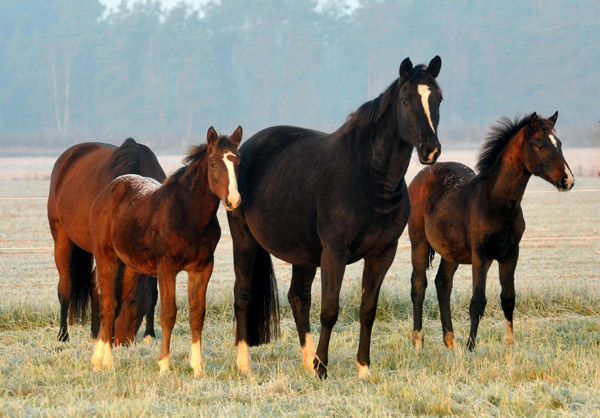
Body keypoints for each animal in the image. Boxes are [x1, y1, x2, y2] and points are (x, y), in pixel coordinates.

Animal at [48, 137, 165, 342]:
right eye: (132, 300)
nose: (123, 341)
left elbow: (153, 292)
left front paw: (149, 333)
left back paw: (96, 332)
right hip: (62, 239)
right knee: (65, 287)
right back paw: (63, 335)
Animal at [89, 125, 241, 374]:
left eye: (238, 162)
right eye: (213, 164)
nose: (233, 200)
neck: (187, 214)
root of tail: (108, 191)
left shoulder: (202, 267)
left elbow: (197, 314)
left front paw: (198, 367)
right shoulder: (167, 267)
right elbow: (168, 314)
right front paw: (164, 366)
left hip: (127, 265)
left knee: (116, 301)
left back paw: (99, 359)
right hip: (106, 258)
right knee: (108, 305)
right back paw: (105, 361)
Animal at [227, 55, 442, 378]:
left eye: (438, 98)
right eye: (405, 100)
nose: (431, 151)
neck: (369, 176)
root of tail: (248, 146)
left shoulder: (383, 253)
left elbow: (367, 310)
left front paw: (362, 367)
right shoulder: (334, 252)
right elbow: (329, 310)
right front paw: (322, 369)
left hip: (302, 253)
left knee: (298, 298)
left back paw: (306, 360)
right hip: (244, 240)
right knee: (243, 294)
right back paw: (245, 364)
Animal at [408, 112, 572, 352]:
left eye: (558, 144)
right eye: (540, 145)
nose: (568, 180)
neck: (496, 202)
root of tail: (420, 176)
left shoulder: (510, 254)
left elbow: (508, 297)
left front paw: (509, 342)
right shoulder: (481, 255)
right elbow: (478, 301)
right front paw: (471, 347)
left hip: (451, 252)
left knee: (443, 284)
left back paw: (450, 341)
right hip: (418, 242)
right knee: (419, 285)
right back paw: (418, 342)